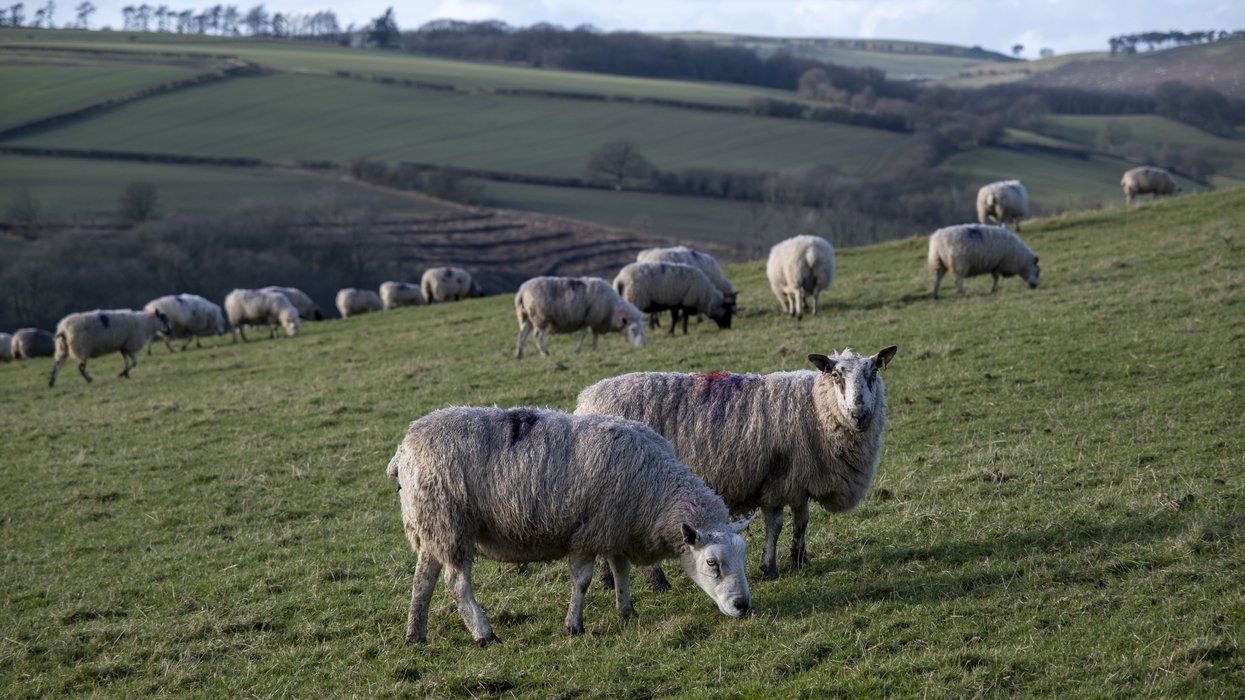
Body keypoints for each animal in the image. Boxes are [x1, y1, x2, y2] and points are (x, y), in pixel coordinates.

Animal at [387, 406, 755, 645]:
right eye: (712, 563)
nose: (743, 606)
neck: (654, 489)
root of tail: (404, 447)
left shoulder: (614, 529)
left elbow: (621, 570)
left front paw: (626, 610)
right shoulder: (588, 533)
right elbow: (582, 582)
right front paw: (574, 625)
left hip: (432, 525)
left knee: (423, 580)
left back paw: (415, 635)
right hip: (450, 524)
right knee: (457, 584)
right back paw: (484, 634)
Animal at [515, 276, 646, 358]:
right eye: (633, 330)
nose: (642, 347)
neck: (612, 309)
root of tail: (522, 291)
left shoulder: (593, 320)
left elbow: (595, 335)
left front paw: (595, 348)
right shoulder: (588, 319)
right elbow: (584, 335)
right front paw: (578, 350)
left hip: (525, 318)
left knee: (522, 336)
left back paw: (519, 354)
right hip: (540, 318)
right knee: (537, 336)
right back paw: (545, 353)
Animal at [575, 346, 897, 585]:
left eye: (874, 372)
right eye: (836, 376)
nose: (859, 413)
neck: (814, 409)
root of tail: (586, 400)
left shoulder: (797, 478)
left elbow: (802, 520)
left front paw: (799, 559)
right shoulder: (776, 481)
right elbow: (776, 525)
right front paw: (770, 567)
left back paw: (608, 579)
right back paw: (656, 581)